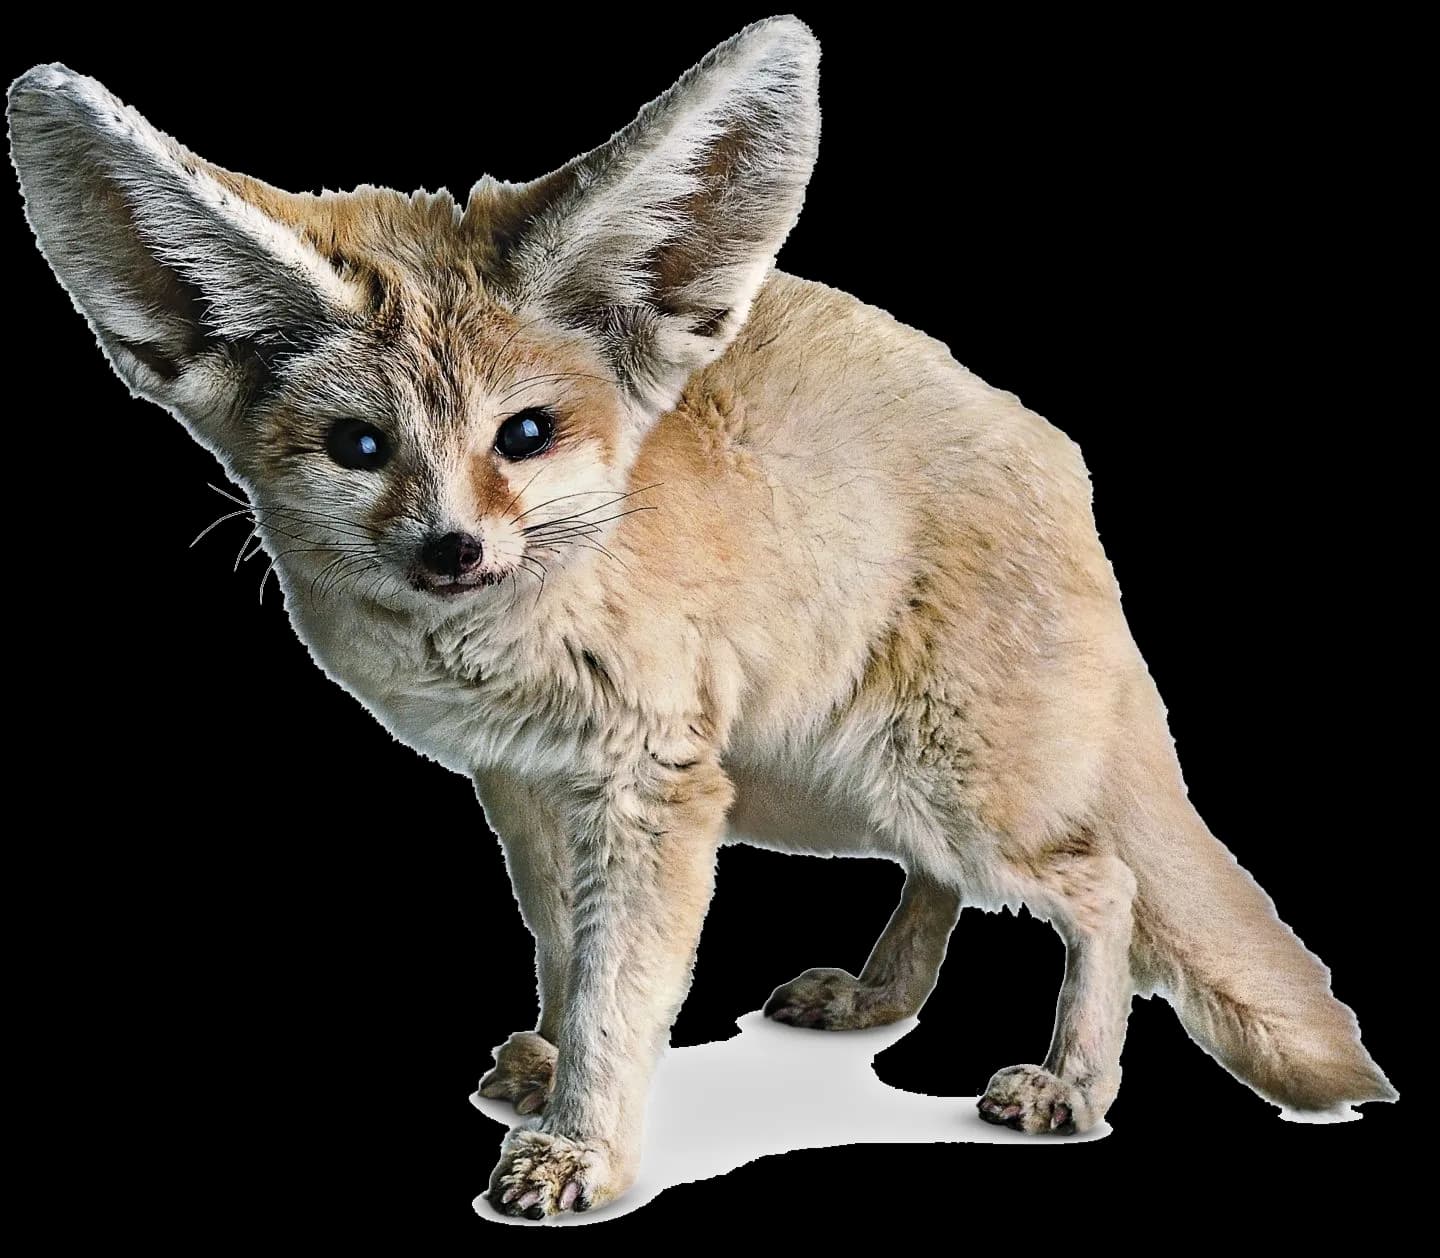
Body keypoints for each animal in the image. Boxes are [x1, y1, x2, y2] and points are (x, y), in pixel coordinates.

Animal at [8, 15, 1395, 1220]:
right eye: (359, 446)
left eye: (524, 434)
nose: (454, 547)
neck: (506, 644)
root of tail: (1062, 469)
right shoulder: (523, 783)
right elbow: (565, 951)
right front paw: (550, 1071)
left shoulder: (651, 784)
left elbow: (622, 988)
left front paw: (580, 1146)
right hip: (834, 787)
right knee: (950, 881)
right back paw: (880, 995)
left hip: (921, 783)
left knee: (1103, 882)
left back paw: (1071, 1082)